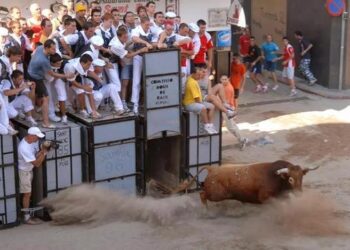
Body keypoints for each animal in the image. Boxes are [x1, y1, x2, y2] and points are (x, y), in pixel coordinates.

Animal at [163, 160, 318, 205]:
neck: (278, 178)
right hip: (216, 195)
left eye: (301, 177)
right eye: (291, 179)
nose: (299, 194)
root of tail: (212, 169)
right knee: (202, 195)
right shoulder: (265, 197)